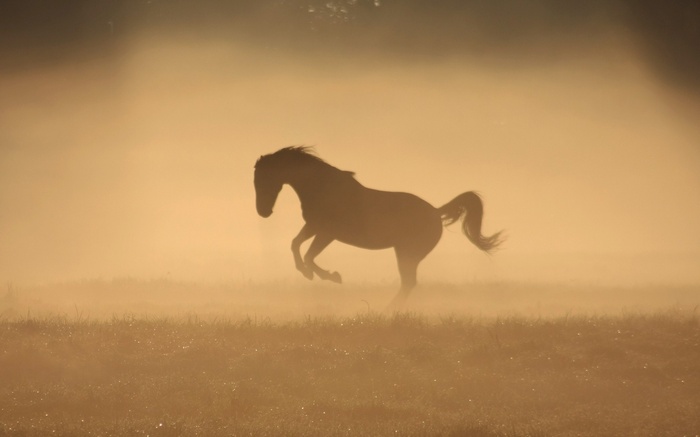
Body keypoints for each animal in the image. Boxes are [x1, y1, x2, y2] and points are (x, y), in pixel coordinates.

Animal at [254, 146, 503, 306]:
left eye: (265, 178)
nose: (262, 212)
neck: (323, 188)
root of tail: (435, 211)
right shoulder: (314, 227)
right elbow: (295, 245)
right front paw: (308, 274)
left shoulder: (327, 233)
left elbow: (308, 255)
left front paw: (331, 276)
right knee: (408, 283)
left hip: (407, 254)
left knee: (408, 282)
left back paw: (388, 311)